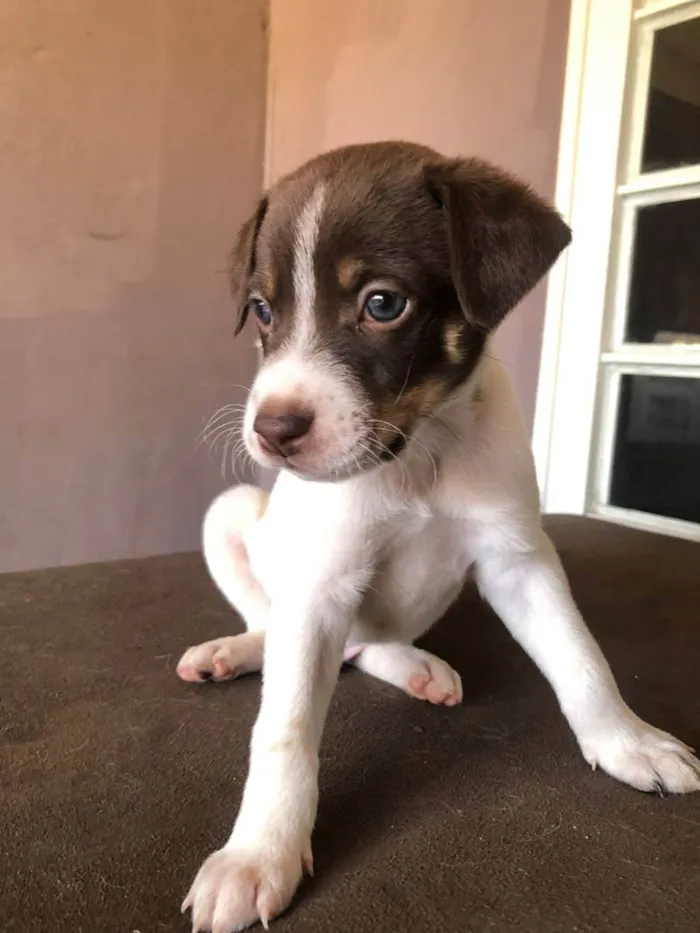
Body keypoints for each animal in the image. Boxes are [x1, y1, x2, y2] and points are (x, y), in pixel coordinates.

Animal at [180, 140, 700, 932]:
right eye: (264, 308)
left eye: (383, 303)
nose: (273, 430)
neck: (417, 455)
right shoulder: (320, 584)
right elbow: (284, 729)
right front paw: (259, 854)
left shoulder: (518, 559)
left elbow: (582, 660)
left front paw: (627, 741)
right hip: (235, 512)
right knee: (271, 626)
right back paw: (231, 652)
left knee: (367, 648)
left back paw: (416, 666)